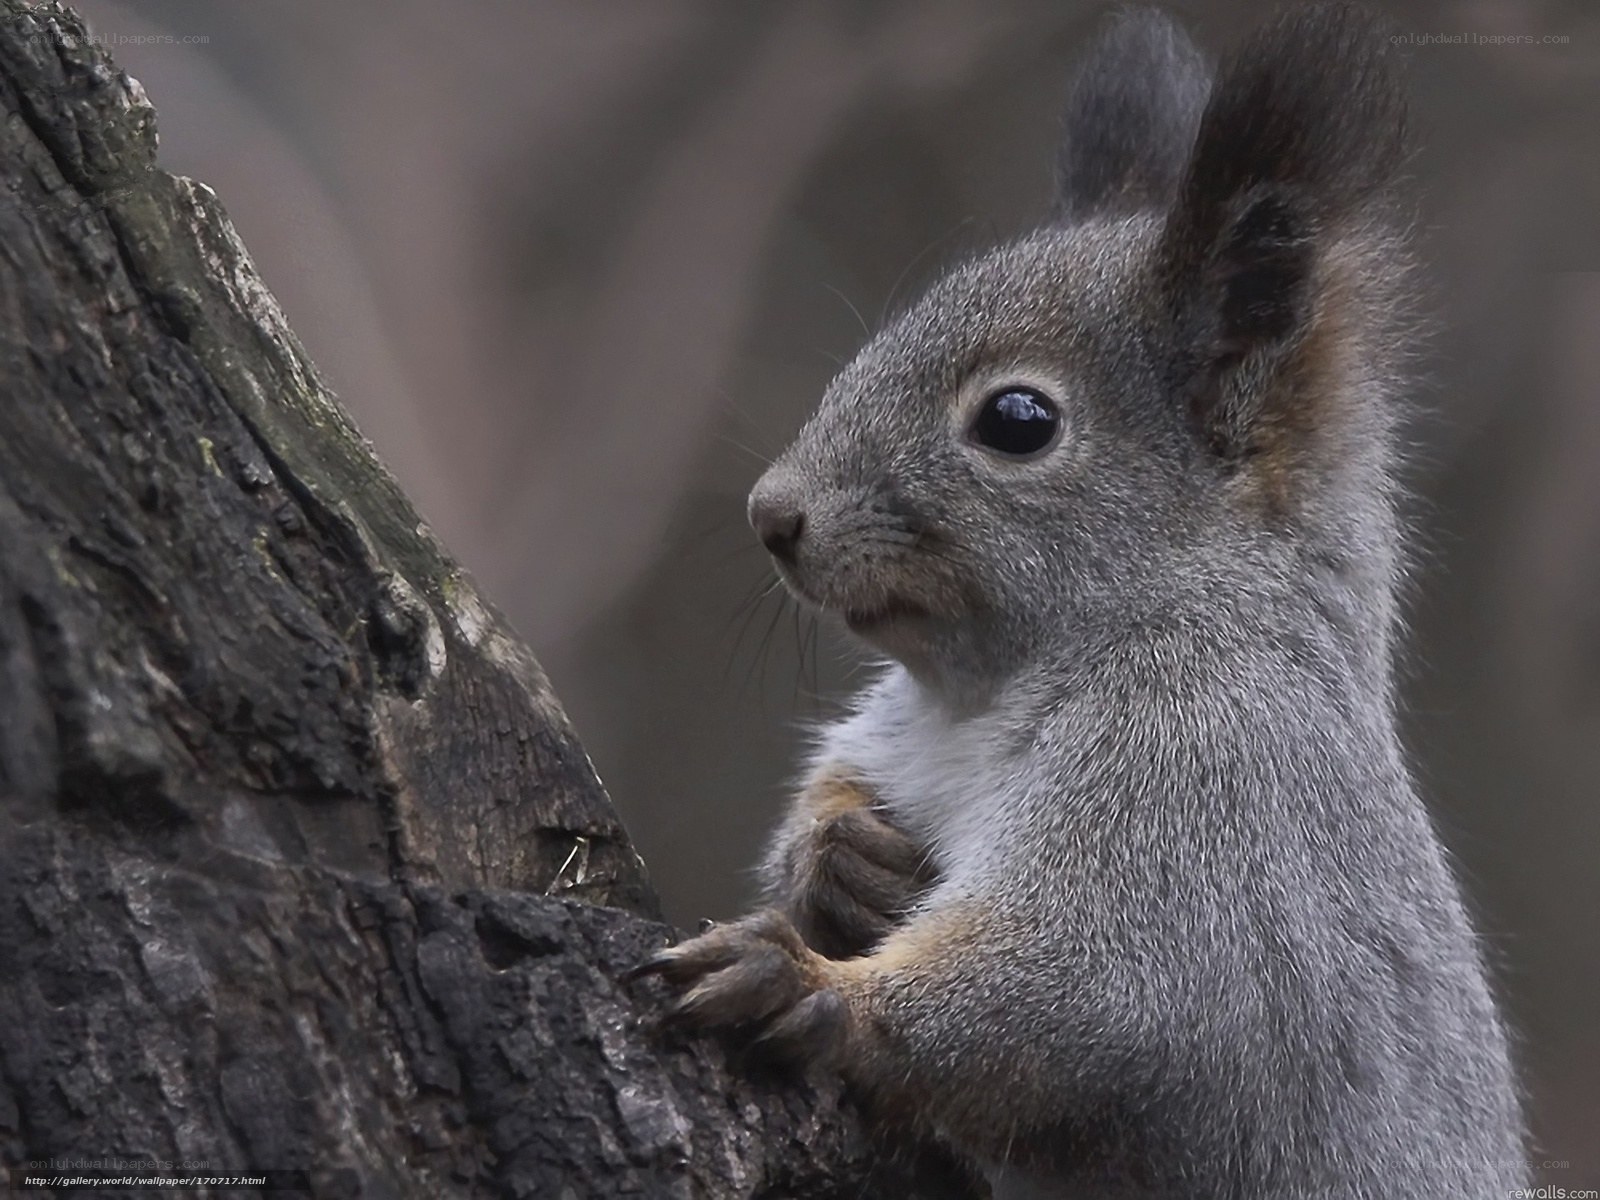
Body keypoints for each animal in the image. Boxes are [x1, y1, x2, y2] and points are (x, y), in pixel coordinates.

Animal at [638, 5, 1527, 1196]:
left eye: (1018, 420)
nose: (773, 515)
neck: (973, 695)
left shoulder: (1206, 787)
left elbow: (1092, 991)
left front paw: (815, 990)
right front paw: (840, 864)